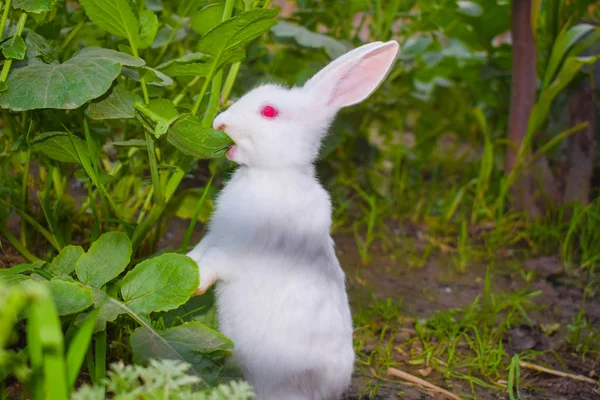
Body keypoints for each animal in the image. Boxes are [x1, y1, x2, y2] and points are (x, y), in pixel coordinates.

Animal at [188, 41, 400, 400]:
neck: (270, 173)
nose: (219, 123)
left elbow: (216, 264)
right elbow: (201, 251)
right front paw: (183, 264)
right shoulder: (215, 237)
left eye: (269, 112)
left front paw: (197, 284)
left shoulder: (241, 249)